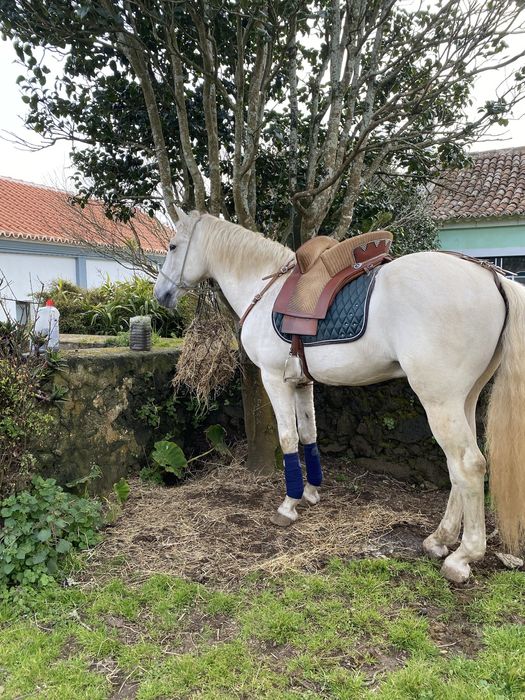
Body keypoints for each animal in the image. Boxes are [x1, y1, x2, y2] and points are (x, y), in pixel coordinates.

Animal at [154, 208, 525, 583]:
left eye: (172, 246)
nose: (160, 294)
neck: (263, 287)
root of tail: (494, 278)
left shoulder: (274, 379)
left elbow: (288, 438)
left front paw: (288, 505)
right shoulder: (302, 383)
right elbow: (309, 434)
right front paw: (311, 492)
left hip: (439, 401)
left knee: (468, 465)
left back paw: (462, 556)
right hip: (463, 399)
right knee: (458, 468)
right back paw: (440, 539)